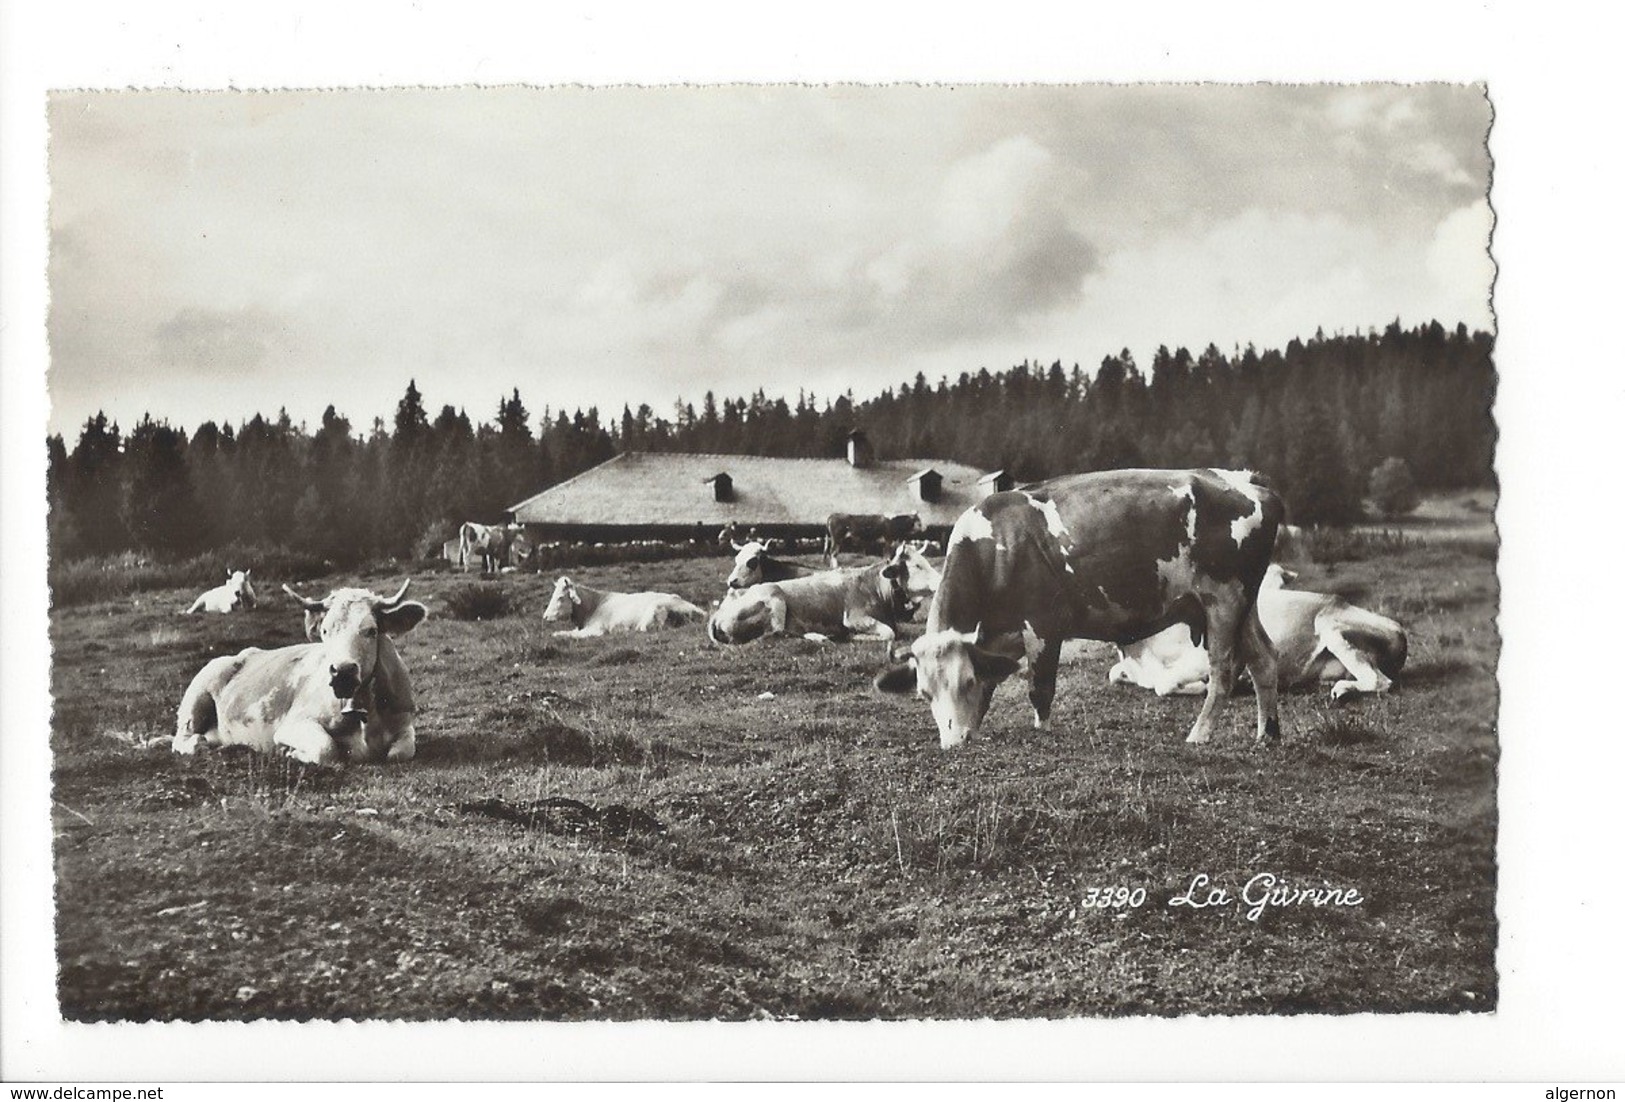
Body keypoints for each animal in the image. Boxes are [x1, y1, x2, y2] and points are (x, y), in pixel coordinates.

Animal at [172, 578, 429, 767]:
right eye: (325, 630)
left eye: (371, 631)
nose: (342, 671)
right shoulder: (292, 725)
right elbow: (326, 748)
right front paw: (290, 752)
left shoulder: (404, 723)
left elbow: (401, 751)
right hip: (196, 698)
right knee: (182, 739)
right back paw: (198, 743)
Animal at [877, 464, 1280, 750]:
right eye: (924, 693)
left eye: (966, 681)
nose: (954, 743)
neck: (994, 549)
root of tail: (1247, 480)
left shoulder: (1041, 624)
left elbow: (1039, 688)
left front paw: (1042, 731)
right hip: (1244, 604)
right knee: (1264, 659)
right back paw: (1268, 734)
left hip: (1223, 600)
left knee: (1223, 671)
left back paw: (1200, 734)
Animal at [1105, 565, 1410, 702]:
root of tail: (1399, 630)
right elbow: (1115, 673)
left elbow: (1164, 685)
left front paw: (1204, 686)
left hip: (1332, 628)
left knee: (1380, 681)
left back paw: (1342, 690)